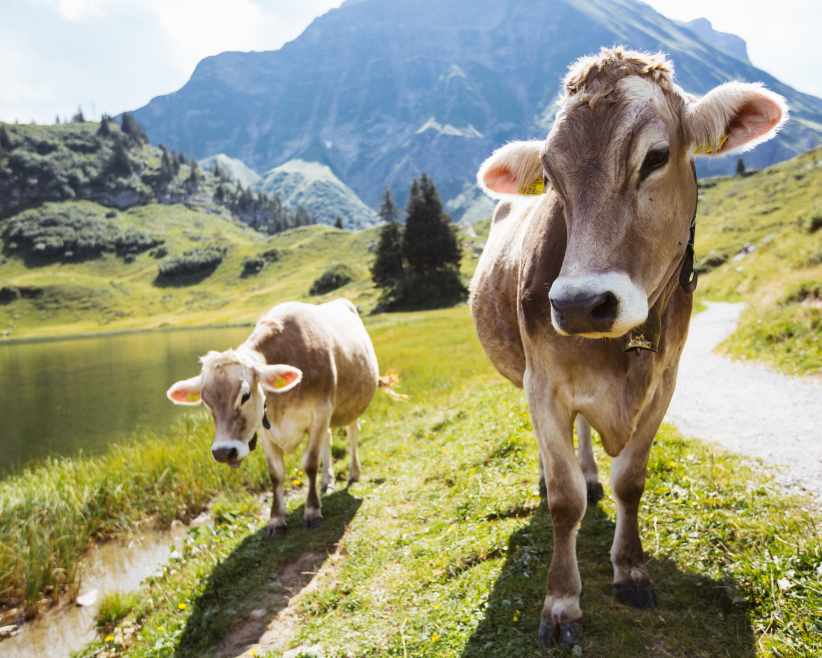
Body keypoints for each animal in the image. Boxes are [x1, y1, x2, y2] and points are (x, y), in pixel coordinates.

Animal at [171, 300, 384, 532]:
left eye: (245, 395)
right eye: (206, 401)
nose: (223, 452)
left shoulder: (320, 413)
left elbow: (310, 464)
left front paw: (312, 510)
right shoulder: (264, 430)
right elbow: (276, 474)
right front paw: (276, 518)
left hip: (351, 407)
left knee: (352, 435)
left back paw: (354, 473)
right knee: (328, 439)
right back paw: (327, 480)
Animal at [470, 47, 784, 644]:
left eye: (656, 157)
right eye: (551, 176)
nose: (578, 304)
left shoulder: (664, 383)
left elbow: (631, 481)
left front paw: (631, 569)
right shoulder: (543, 385)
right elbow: (564, 501)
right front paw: (562, 602)